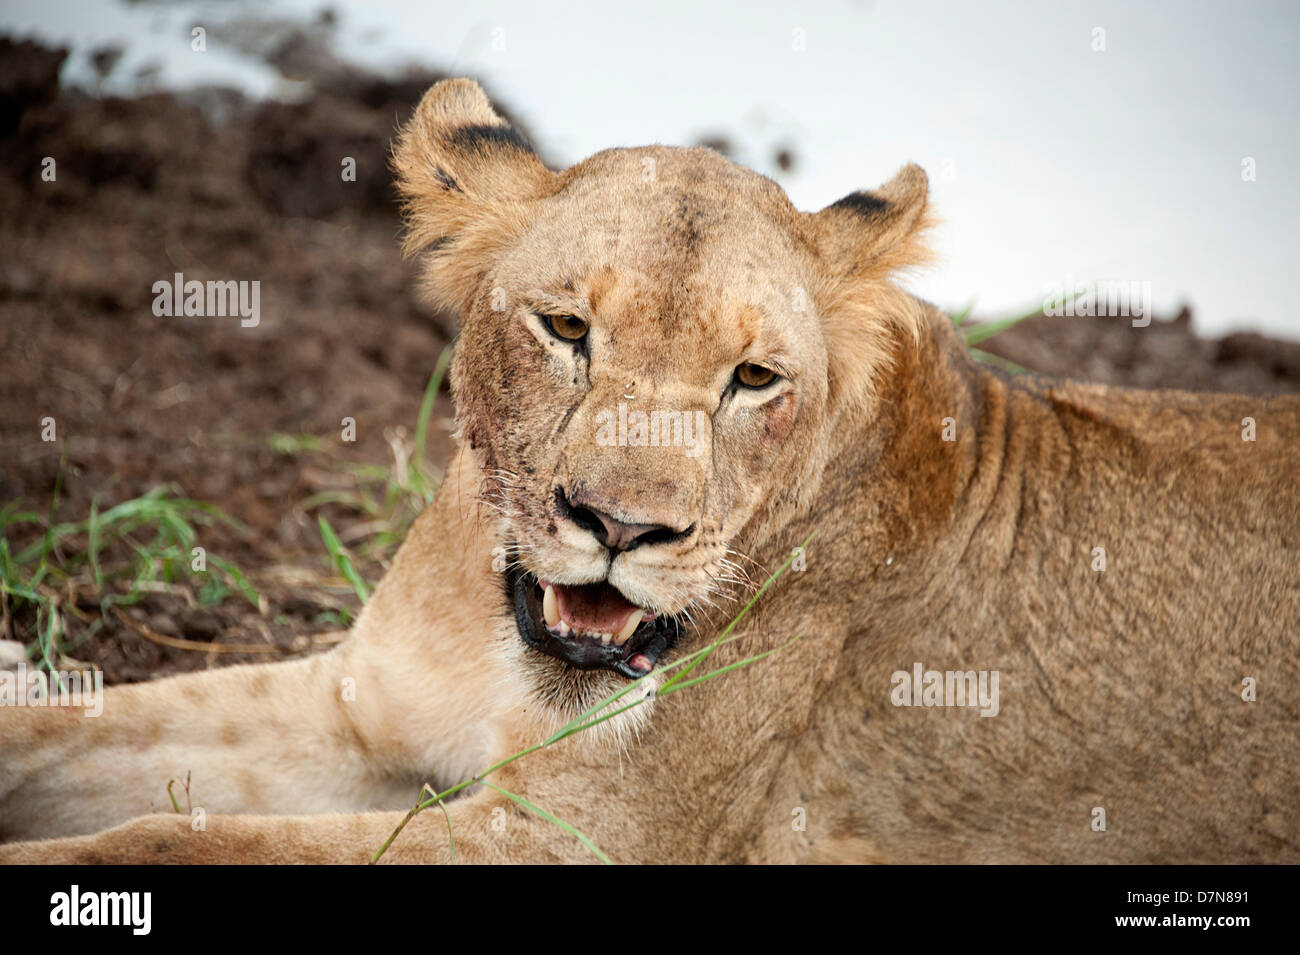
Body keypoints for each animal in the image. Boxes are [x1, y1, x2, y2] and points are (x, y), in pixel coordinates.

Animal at [2, 78, 1300, 862]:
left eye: (754, 379)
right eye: (567, 328)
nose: (622, 528)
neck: (507, 649)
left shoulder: (581, 837)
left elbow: (171, 837)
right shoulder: (355, 711)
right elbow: (71, 731)